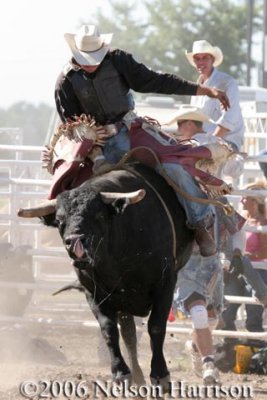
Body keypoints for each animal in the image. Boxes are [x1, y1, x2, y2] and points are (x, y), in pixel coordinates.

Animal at [18, 162, 195, 388]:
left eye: (99, 216)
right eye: (59, 220)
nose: (75, 241)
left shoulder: (165, 283)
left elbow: (156, 326)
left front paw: (160, 374)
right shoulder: (93, 292)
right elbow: (109, 330)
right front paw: (121, 372)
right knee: (128, 334)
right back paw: (137, 375)